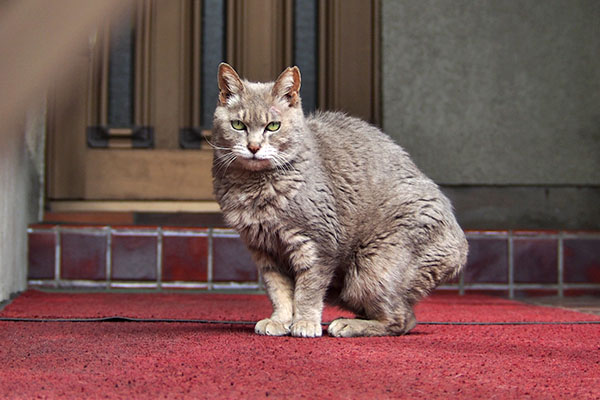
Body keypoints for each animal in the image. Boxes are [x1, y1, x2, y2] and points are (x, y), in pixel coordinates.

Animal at [211, 63, 468, 338]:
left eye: (273, 126)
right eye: (238, 125)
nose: (254, 147)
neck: (254, 189)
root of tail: (461, 248)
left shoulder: (317, 243)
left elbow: (308, 291)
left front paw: (304, 323)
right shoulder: (264, 251)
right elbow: (279, 292)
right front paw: (280, 321)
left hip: (371, 270)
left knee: (402, 319)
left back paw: (347, 324)